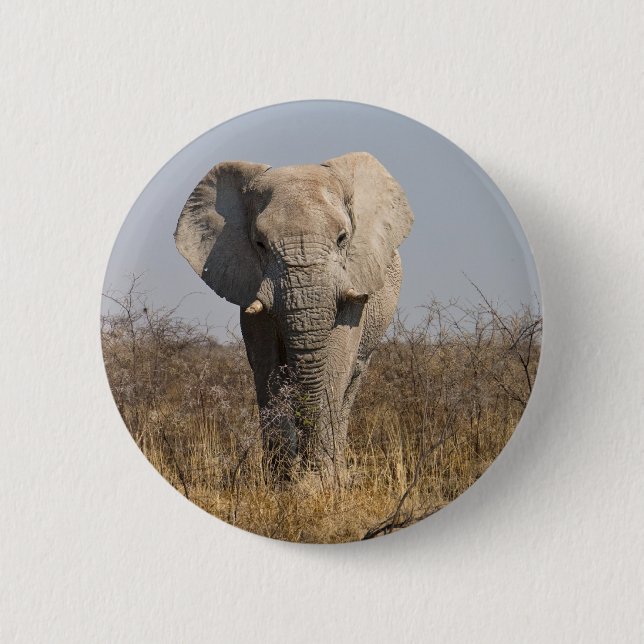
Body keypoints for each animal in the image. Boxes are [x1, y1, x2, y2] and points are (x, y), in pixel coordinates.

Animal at [174, 151, 414, 483]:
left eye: (342, 239)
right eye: (260, 244)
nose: (307, 467)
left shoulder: (353, 280)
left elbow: (336, 362)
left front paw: (322, 483)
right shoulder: (248, 282)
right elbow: (266, 365)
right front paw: (283, 483)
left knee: (351, 381)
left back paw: (340, 474)